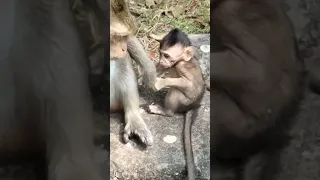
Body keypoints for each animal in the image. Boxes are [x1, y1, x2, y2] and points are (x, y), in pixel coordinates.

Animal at [148, 28, 205, 180]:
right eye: (161, 53)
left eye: (167, 55)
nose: (161, 60)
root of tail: (194, 105)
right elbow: (158, 69)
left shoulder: (181, 66)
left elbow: (187, 84)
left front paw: (160, 82)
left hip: (185, 102)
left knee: (175, 91)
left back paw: (165, 111)